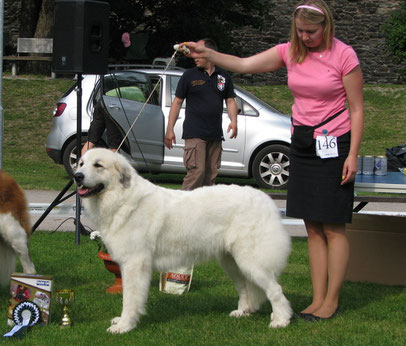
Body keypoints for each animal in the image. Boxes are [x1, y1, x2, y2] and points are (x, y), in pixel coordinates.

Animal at [74, 149, 292, 336]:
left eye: (98, 165)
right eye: (81, 163)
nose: (77, 176)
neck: (122, 198)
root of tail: (266, 200)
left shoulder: (134, 264)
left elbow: (129, 299)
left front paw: (124, 326)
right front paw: (121, 322)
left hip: (251, 261)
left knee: (275, 290)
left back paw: (281, 320)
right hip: (231, 262)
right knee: (245, 287)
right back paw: (243, 312)